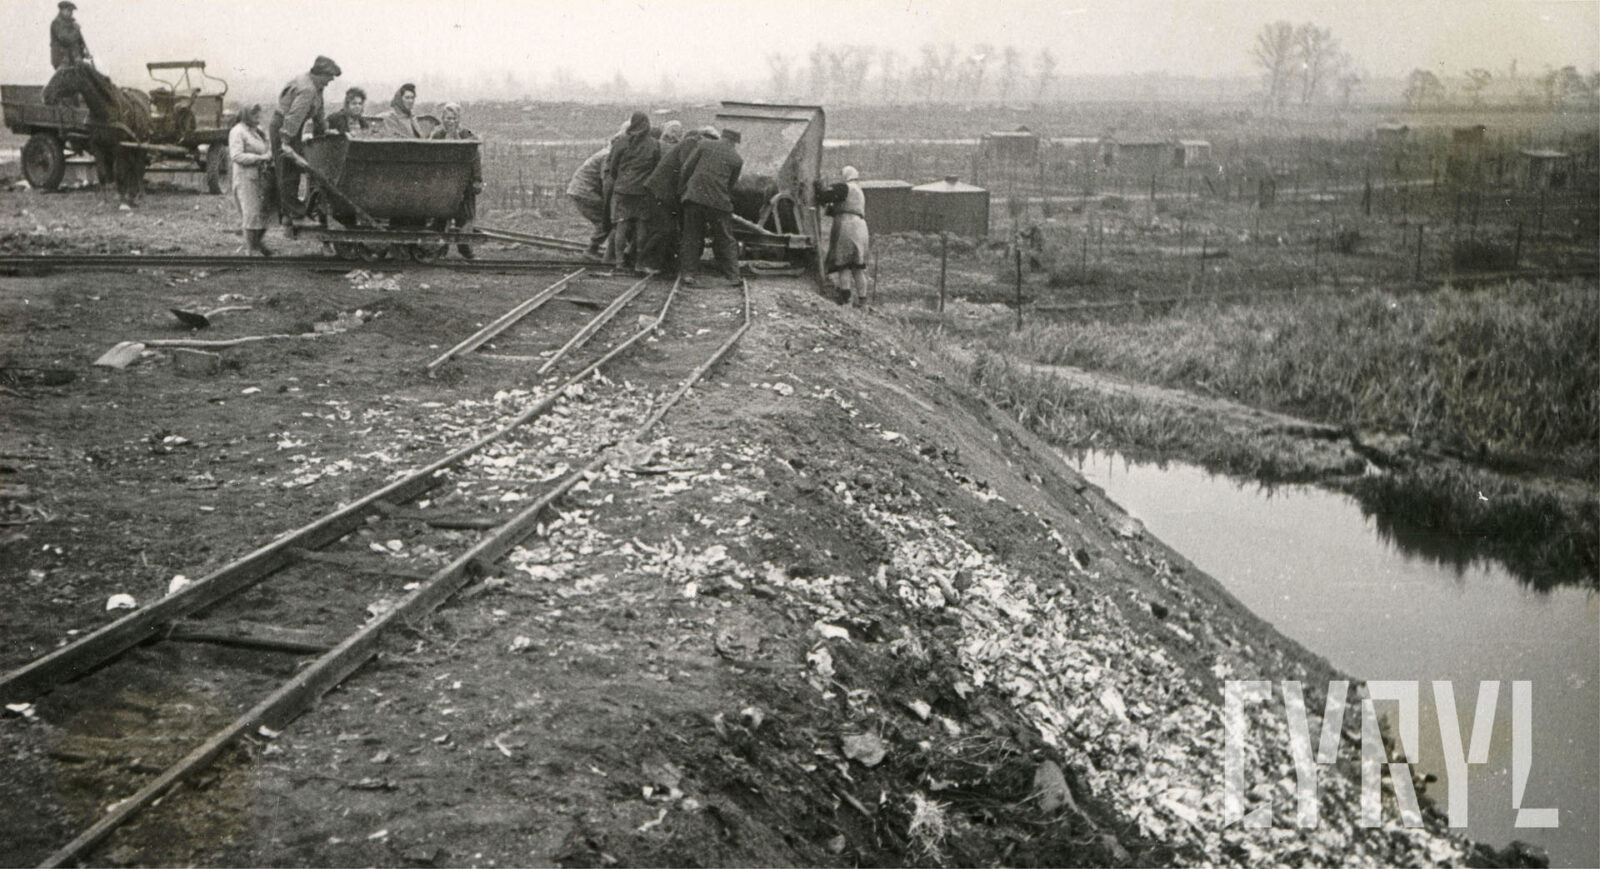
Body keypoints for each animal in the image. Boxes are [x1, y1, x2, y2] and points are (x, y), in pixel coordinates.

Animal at [42, 62, 154, 206]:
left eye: (65, 74)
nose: (44, 94)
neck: (105, 111)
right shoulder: (97, 146)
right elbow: (102, 173)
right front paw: (105, 200)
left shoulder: (118, 147)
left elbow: (118, 173)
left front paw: (122, 200)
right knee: (131, 167)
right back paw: (131, 193)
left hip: (141, 144)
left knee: (138, 168)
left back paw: (140, 194)